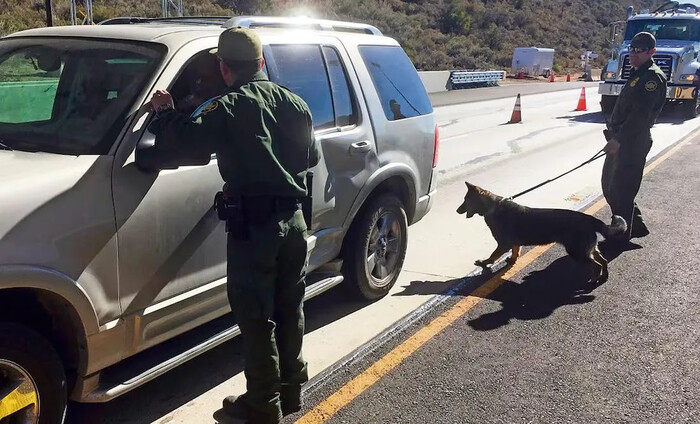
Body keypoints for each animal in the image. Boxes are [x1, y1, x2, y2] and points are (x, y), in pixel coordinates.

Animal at [456, 183, 628, 284]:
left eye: (465, 200)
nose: (457, 210)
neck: (493, 206)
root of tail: (589, 219)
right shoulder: (513, 244)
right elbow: (515, 252)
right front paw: (511, 260)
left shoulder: (502, 244)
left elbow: (492, 256)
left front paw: (484, 263)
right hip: (589, 249)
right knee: (603, 261)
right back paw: (603, 277)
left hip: (577, 252)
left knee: (596, 265)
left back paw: (593, 279)